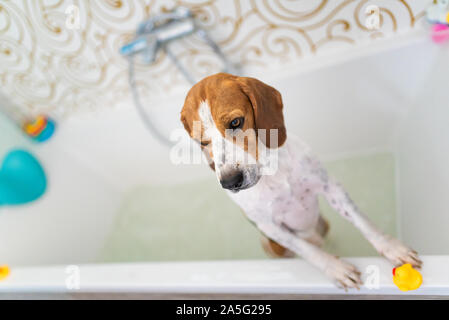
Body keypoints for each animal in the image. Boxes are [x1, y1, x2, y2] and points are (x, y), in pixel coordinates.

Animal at [178, 74, 420, 288]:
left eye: (235, 122)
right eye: (202, 142)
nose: (229, 182)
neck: (271, 170)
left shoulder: (331, 187)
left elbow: (363, 221)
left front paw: (392, 247)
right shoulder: (271, 227)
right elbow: (309, 251)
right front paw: (335, 268)